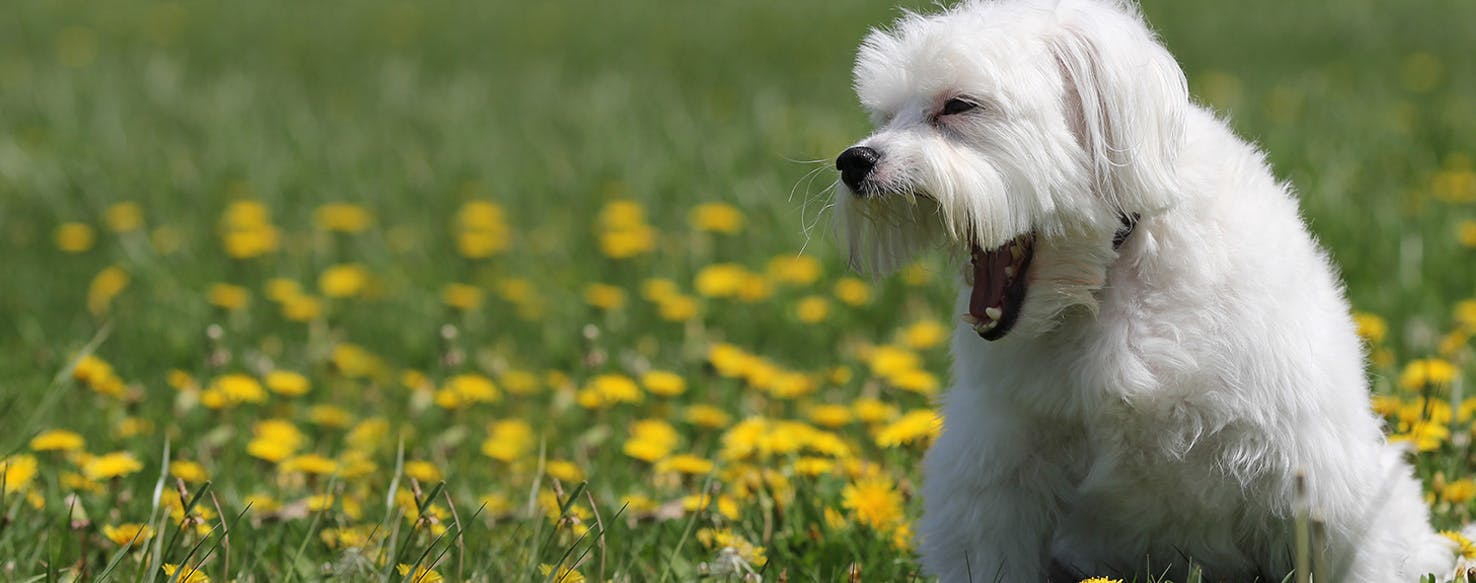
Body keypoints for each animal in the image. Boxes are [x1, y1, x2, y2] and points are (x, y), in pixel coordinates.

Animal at [838, 1, 1458, 583]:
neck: (1112, 274)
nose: (853, 161)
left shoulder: (1308, 467)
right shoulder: (998, 464)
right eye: (885, 115)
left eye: (959, 106)